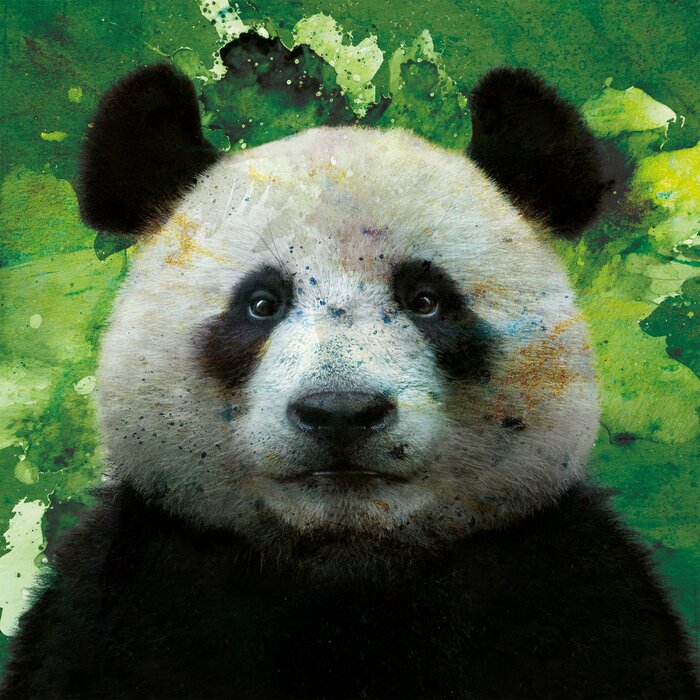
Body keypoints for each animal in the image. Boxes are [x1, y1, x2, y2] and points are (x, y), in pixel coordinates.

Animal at [1, 63, 698, 700]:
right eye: (261, 303)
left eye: (426, 300)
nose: (340, 411)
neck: (347, 566)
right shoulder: (126, 593)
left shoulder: (565, 586)